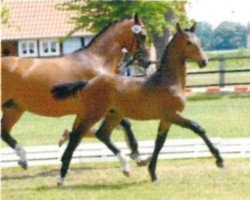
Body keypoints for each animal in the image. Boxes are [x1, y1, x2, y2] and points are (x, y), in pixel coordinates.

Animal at [51, 22, 224, 184]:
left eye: (198, 41)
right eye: (188, 42)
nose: (204, 61)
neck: (168, 81)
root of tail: (88, 82)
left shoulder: (166, 119)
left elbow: (159, 143)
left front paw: (152, 174)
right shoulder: (172, 115)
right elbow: (197, 128)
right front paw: (219, 160)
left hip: (114, 114)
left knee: (101, 134)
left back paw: (125, 167)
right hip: (93, 114)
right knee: (77, 136)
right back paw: (61, 176)